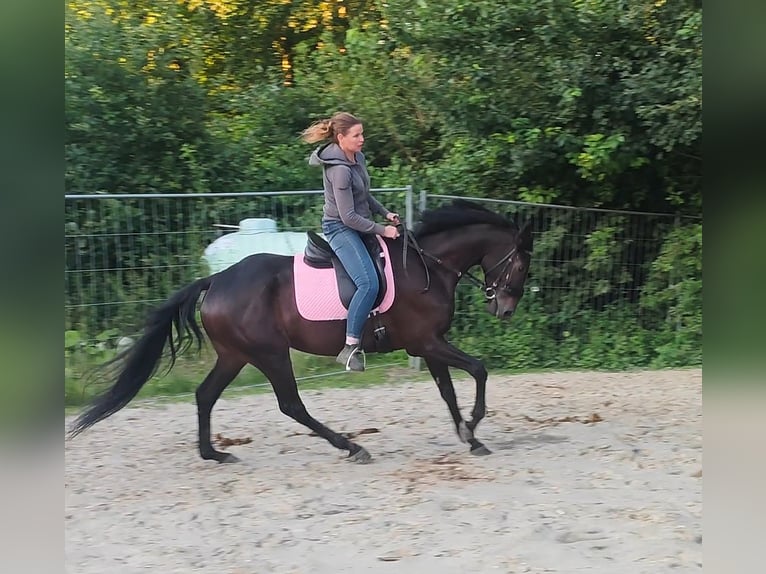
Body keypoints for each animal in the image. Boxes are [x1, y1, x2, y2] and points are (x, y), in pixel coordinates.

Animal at [67, 200, 536, 466]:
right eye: (521, 263)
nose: (505, 309)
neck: (428, 269)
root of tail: (216, 282)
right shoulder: (428, 342)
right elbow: (479, 369)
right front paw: (474, 426)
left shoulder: (428, 345)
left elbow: (448, 391)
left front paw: (469, 436)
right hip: (271, 353)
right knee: (291, 404)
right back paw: (351, 447)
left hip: (235, 355)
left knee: (205, 395)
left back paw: (214, 453)